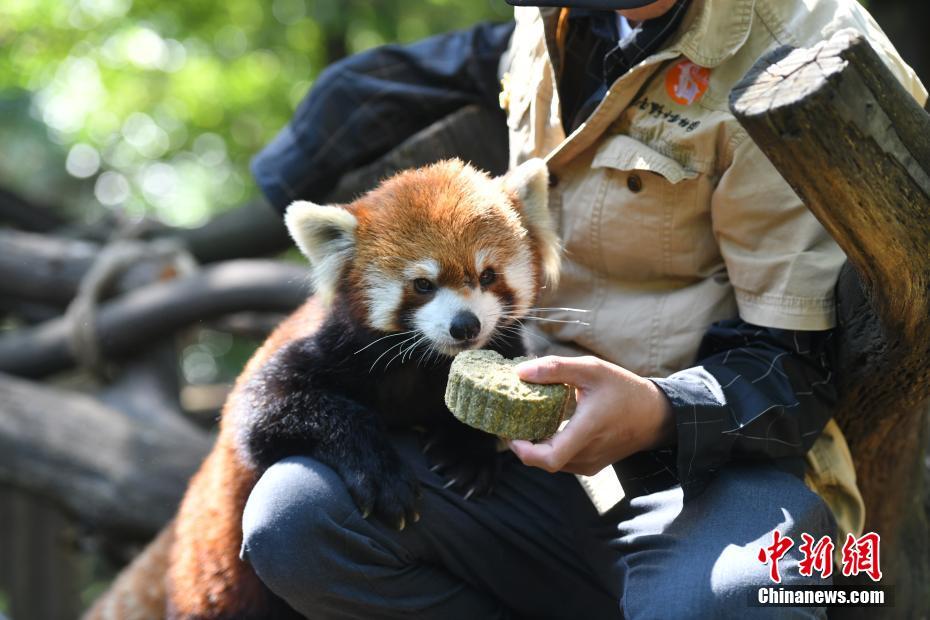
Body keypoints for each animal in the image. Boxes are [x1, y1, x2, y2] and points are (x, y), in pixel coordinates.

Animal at [87, 159, 556, 620]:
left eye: (487, 276)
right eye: (423, 284)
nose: (465, 326)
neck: (424, 362)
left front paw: (467, 451)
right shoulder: (321, 348)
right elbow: (262, 411)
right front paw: (377, 471)